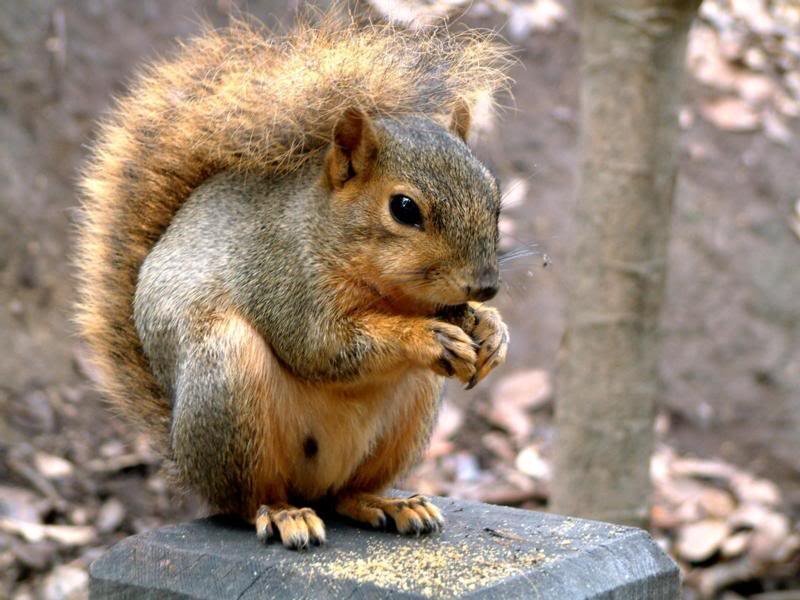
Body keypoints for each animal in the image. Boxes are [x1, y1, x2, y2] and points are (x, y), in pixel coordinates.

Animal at [76, 13, 511, 549]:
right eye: (404, 208)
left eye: (494, 195)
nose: (486, 285)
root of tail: (182, 452)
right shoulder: (283, 277)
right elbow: (321, 346)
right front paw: (427, 337)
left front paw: (491, 329)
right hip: (227, 380)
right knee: (247, 499)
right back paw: (284, 514)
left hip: (409, 415)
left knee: (346, 494)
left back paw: (386, 503)